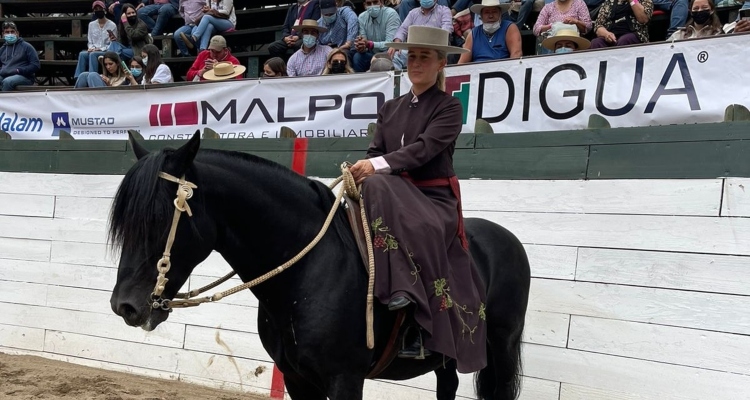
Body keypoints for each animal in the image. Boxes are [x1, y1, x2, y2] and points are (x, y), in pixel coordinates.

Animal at [110, 134, 536, 400]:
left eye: (160, 219)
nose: (125, 306)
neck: (309, 274)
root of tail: (508, 240)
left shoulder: (344, 380)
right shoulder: (298, 379)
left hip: (501, 346)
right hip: (447, 354)